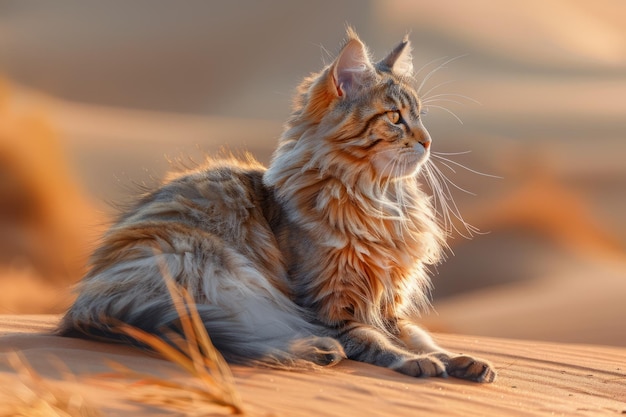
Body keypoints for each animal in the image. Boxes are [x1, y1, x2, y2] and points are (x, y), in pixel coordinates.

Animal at [59, 27, 498, 382]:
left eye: (420, 116)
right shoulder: (326, 306)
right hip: (215, 267)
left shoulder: (389, 304)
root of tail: (87, 303)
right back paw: (320, 350)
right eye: (395, 117)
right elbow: (376, 341)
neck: (375, 200)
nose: (428, 141)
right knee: (224, 337)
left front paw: (460, 359)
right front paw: (414, 362)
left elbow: (422, 337)